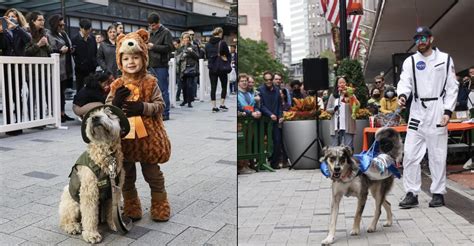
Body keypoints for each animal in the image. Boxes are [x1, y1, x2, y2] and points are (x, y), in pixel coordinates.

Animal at [60, 105, 129, 244]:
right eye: (91, 114)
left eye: (109, 114)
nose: (95, 118)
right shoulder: (89, 191)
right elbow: (89, 215)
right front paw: (91, 234)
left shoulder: (115, 190)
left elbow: (111, 211)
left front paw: (115, 224)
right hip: (72, 203)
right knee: (66, 220)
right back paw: (73, 226)